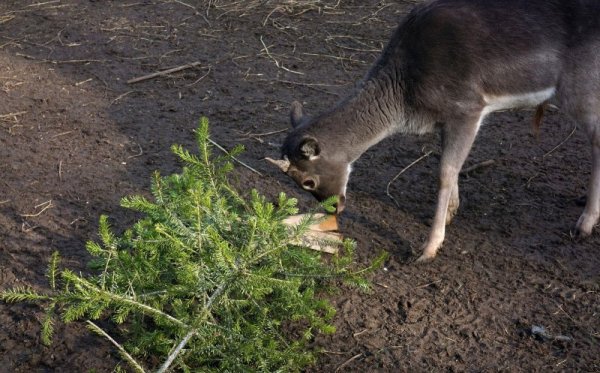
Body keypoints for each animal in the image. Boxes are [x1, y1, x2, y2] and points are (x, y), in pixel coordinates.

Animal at [266, 0, 600, 262]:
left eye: (307, 181)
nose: (334, 208)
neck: (405, 97)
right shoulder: (447, 119)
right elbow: (451, 167)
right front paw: (452, 211)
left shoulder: (467, 107)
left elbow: (444, 171)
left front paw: (428, 248)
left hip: (580, 87)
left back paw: (584, 224)